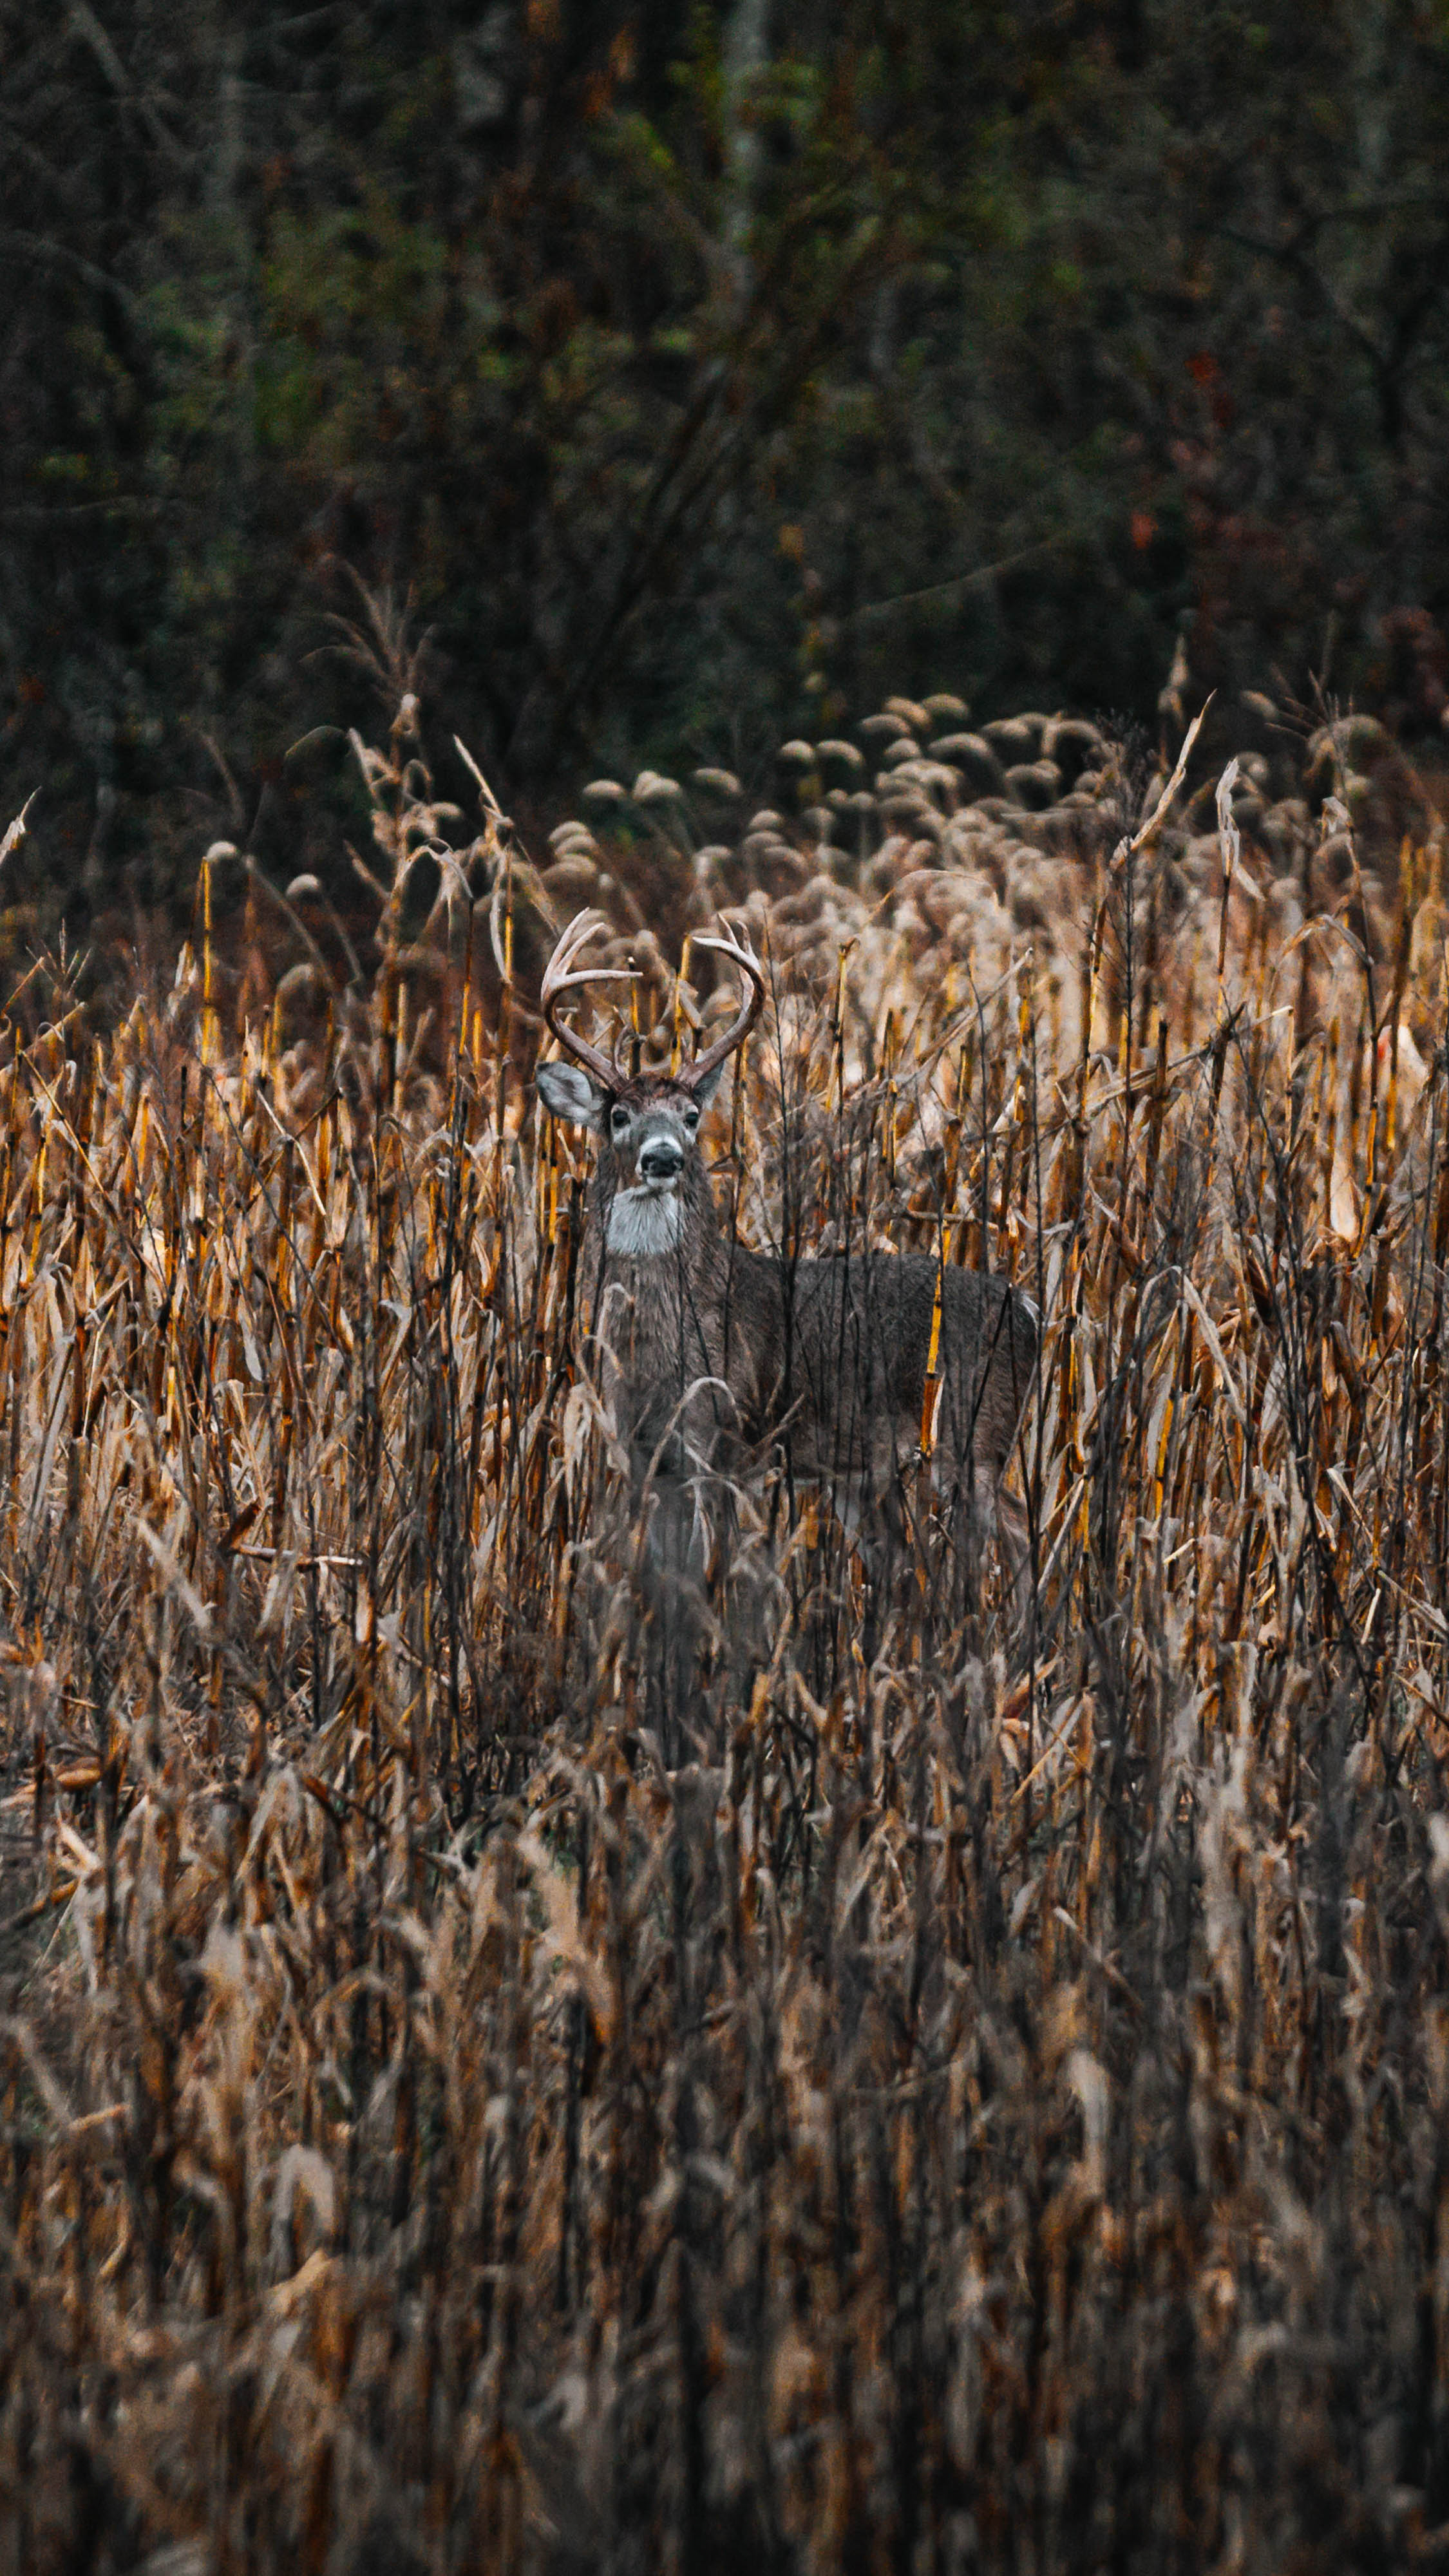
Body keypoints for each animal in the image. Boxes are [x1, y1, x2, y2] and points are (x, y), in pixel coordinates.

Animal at [533, 917, 1036, 1649]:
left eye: (691, 1115)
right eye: (618, 1115)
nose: (664, 1158)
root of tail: (1028, 1307)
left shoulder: (730, 1437)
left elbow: (716, 1573)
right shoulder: (642, 1452)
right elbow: (662, 1576)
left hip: (974, 1433)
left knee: (1017, 1533)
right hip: (867, 1472)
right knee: (908, 1561)